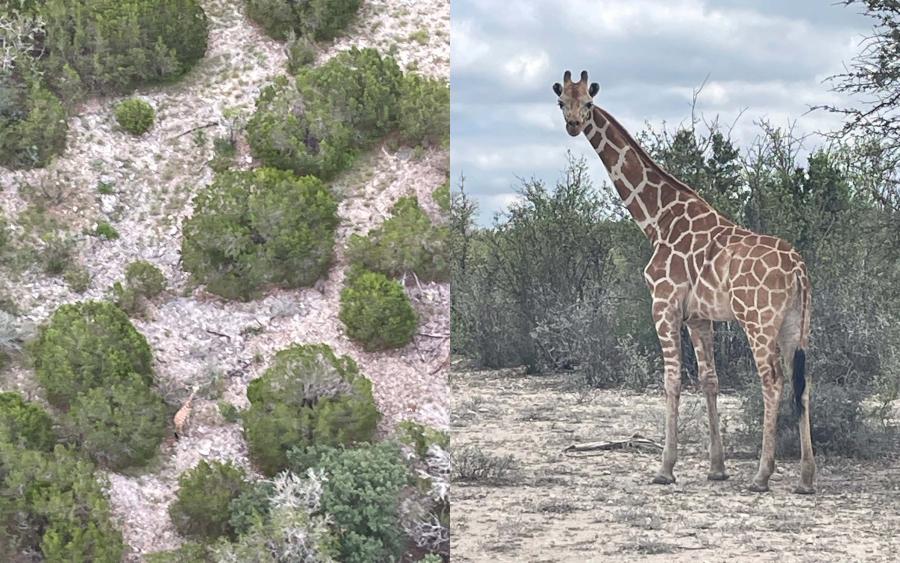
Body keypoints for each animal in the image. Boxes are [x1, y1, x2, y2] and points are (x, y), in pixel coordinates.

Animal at [552, 70, 815, 494]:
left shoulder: (663, 304)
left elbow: (672, 380)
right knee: (801, 383)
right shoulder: (699, 316)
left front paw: (665, 468)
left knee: (772, 381)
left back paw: (762, 475)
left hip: (757, 320)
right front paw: (717, 467)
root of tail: (799, 270)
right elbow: (709, 380)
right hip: (796, 324)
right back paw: (806, 477)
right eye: (563, 102)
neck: (657, 220)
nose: (574, 125)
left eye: (588, 104)